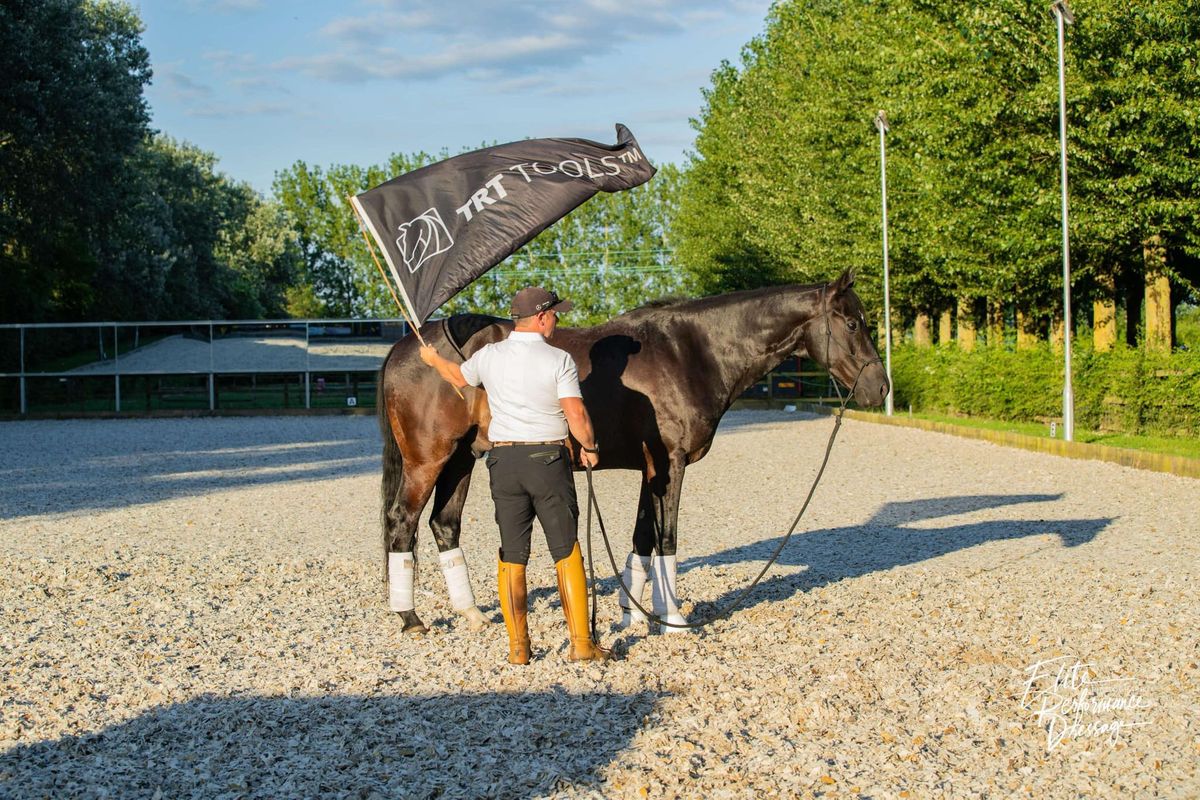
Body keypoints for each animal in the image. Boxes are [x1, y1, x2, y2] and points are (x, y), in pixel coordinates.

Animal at [376, 272, 892, 633]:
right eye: (852, 322)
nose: (881, 388)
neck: (692, 352)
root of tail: (408, 345)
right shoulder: (671, 466)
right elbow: (668, 538)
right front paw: (675, 621)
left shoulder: (652, 470)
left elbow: (643, 539)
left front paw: (633, 615)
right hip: (429, 460)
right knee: (403, 523)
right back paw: (411, 619)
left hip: (463, 458)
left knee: (444, 525)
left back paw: (472, 616)